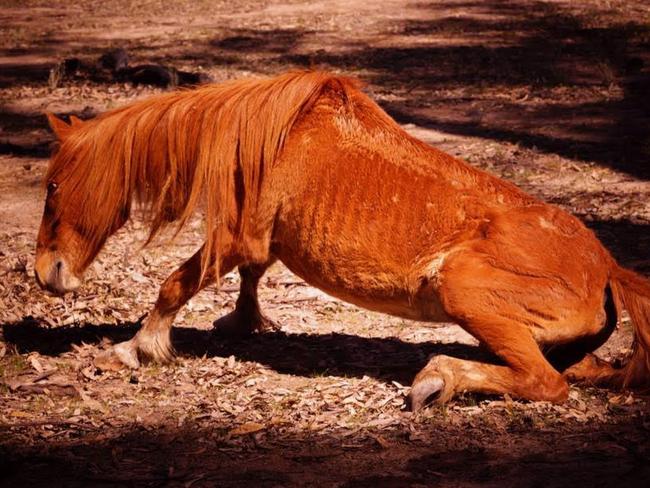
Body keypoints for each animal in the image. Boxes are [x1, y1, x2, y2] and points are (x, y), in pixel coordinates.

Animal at [34, 70, 648, 410]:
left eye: (53, 185)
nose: (46, 273)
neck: (271, 137)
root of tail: (607, 268)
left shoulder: (235, 239)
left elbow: (175, 284)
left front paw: (137, 347)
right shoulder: (261, 245)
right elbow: (251, 278)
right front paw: (243, 322)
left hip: (463, 290)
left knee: (546, 383)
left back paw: (438, 379)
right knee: (580, 373)